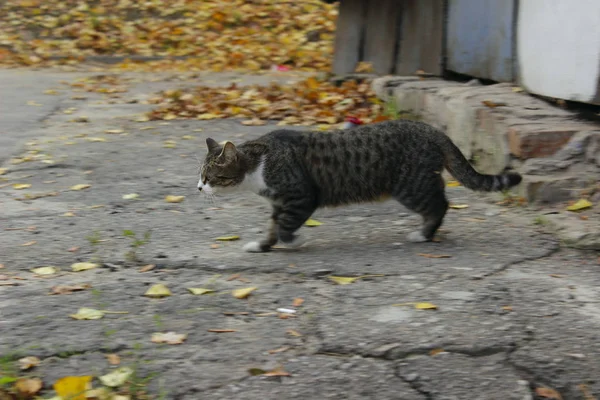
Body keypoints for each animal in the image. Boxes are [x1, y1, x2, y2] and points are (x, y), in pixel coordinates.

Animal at [197, 119, 520, 253]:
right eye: (199, 175)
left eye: (210, 177)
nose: (199, 189)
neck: (258, 164)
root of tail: (430, 128)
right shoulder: (280, 203)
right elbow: (274, 227)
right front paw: (263, 246)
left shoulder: (300, 197)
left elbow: (286, 227)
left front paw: (294, 241)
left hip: (411, 185)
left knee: (441, 204)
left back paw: (423, 234)